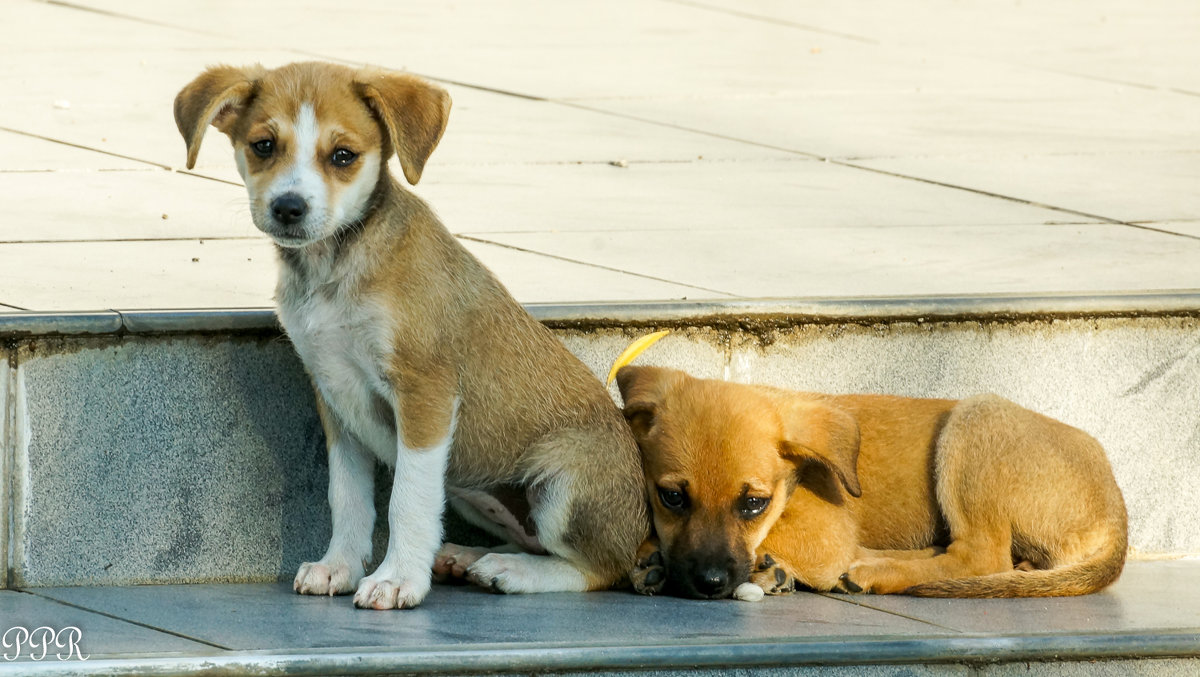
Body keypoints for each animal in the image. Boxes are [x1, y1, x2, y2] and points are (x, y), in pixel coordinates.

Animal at [171, 60, 648, 607]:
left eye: (343, 155)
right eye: (264, 145)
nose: (289, 208)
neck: (334, 268)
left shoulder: (425, 393)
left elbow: (409, 499)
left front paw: (397, 578)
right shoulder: (335, 397)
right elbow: (348, 496)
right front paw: (339, 566)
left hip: (562, 479)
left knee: (600, 567)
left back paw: (512, 570)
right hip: (474, 492)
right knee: (532, 539)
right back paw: (469, 556)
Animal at [614, 364, 1128, 597]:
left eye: (754, 504)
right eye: (672, 497)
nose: (710, 583)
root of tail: (1117, 509)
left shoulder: (824, 535)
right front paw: (650, 560)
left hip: (976, 419)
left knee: (980, 556)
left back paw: (869, 573)